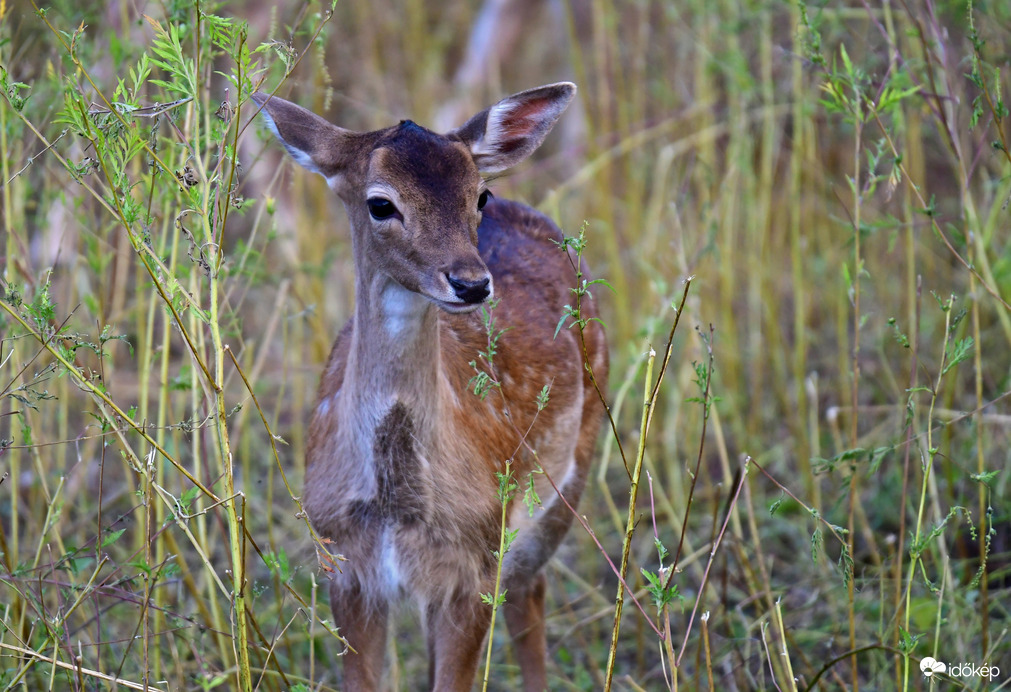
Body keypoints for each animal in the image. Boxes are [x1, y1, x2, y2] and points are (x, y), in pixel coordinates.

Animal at [252, 82, 606, 692]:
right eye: (380, 203)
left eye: (479, 195)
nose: (471, 282)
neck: (394, 502)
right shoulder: (346, 568)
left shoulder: (474, 566)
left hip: (569, 473)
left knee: (530, 591)